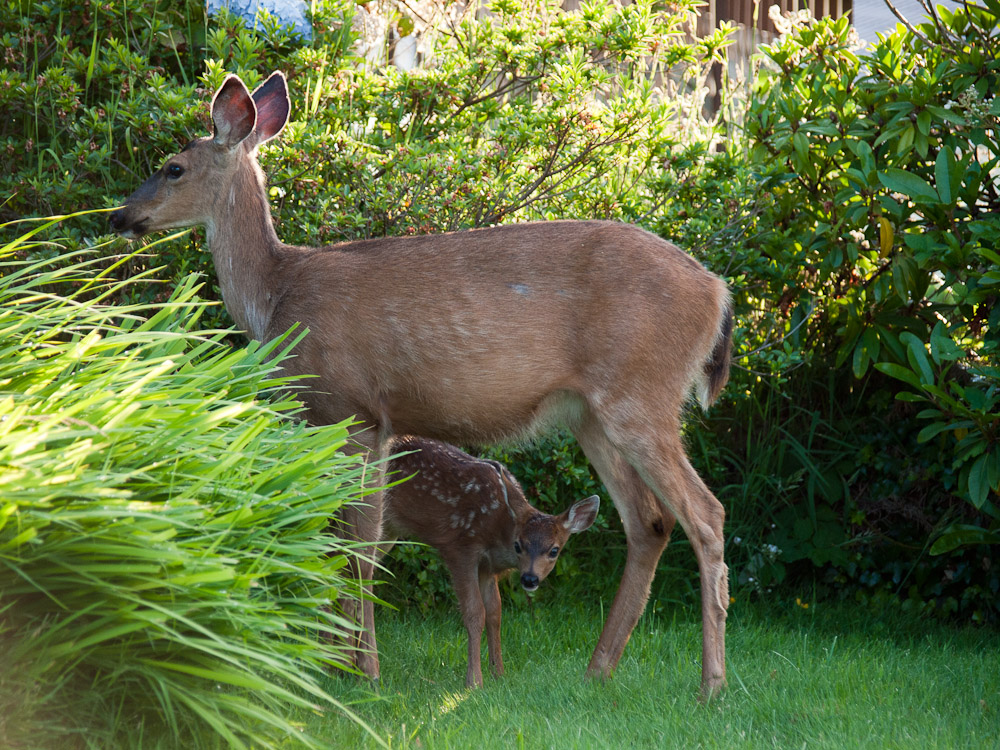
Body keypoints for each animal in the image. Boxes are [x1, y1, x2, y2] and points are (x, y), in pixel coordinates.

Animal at [382, 438, 600, 692]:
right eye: (518, 545)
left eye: (554, 550)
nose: (529, 579)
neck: (499, 528)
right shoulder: (461, 548)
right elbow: (475, 612)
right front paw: (474, 681)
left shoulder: (487, 567)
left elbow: (495, 612)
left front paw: (499, 674)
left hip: (389, 531)